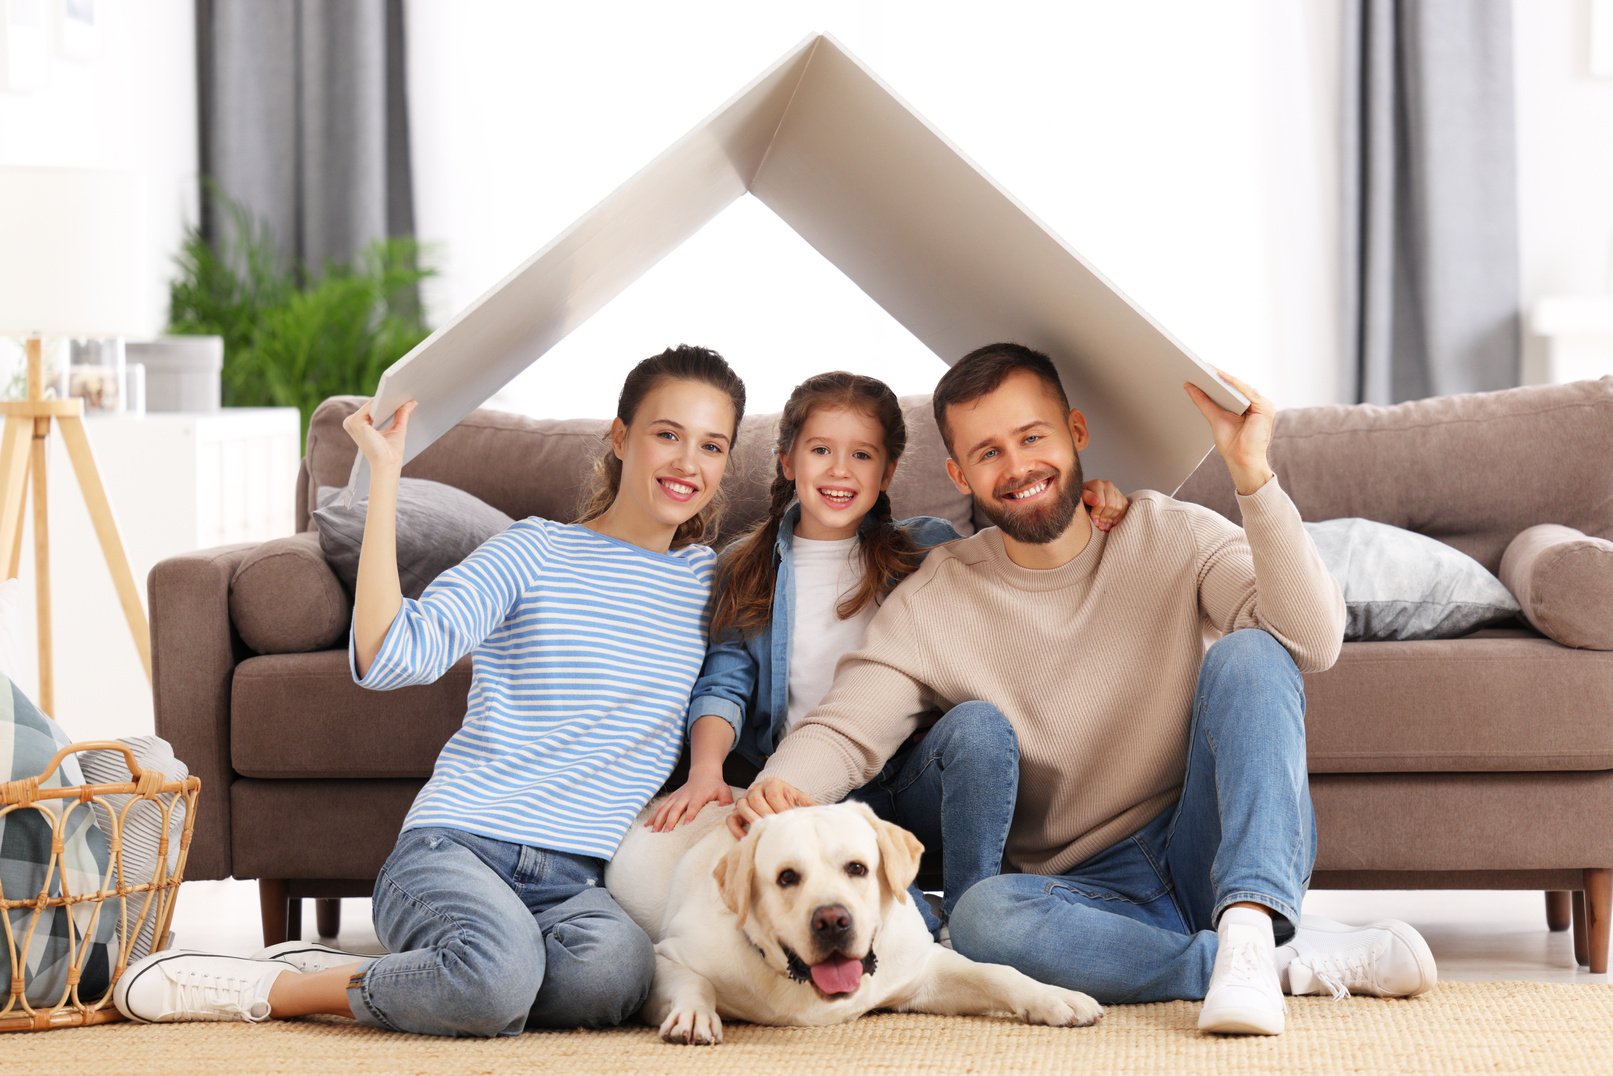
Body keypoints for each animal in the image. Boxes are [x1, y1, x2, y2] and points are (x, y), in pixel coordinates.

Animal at [600, 800, 1103, 1045]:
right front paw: (694, 1015)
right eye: (787, 877)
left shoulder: (922, 972)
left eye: (857, 868)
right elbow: (693, 981)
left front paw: (1053, 998)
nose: (832, 920)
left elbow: (996, 972)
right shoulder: (666, 956)